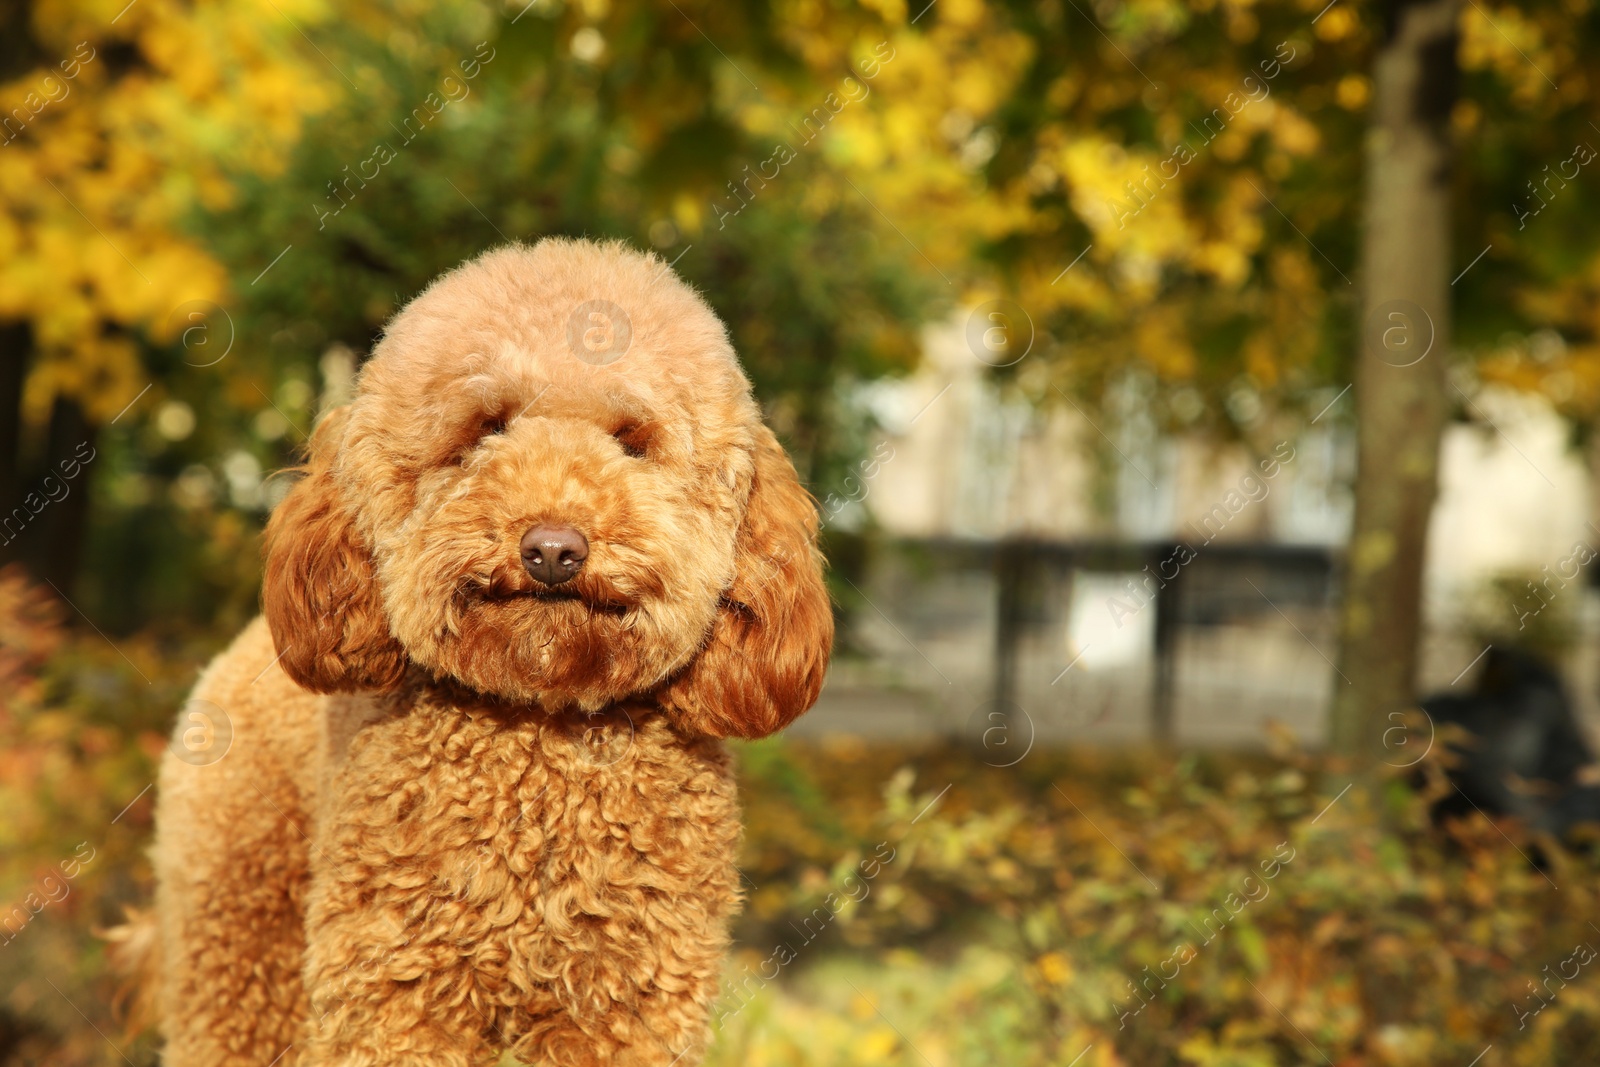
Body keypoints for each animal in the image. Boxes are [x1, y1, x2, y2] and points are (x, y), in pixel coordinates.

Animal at [111, 239, 832, 1067]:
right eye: (487, 426)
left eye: (632, 440)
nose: (552, 549)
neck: (541, 730)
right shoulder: (393, 986)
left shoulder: (629, 999)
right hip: (237, 929)